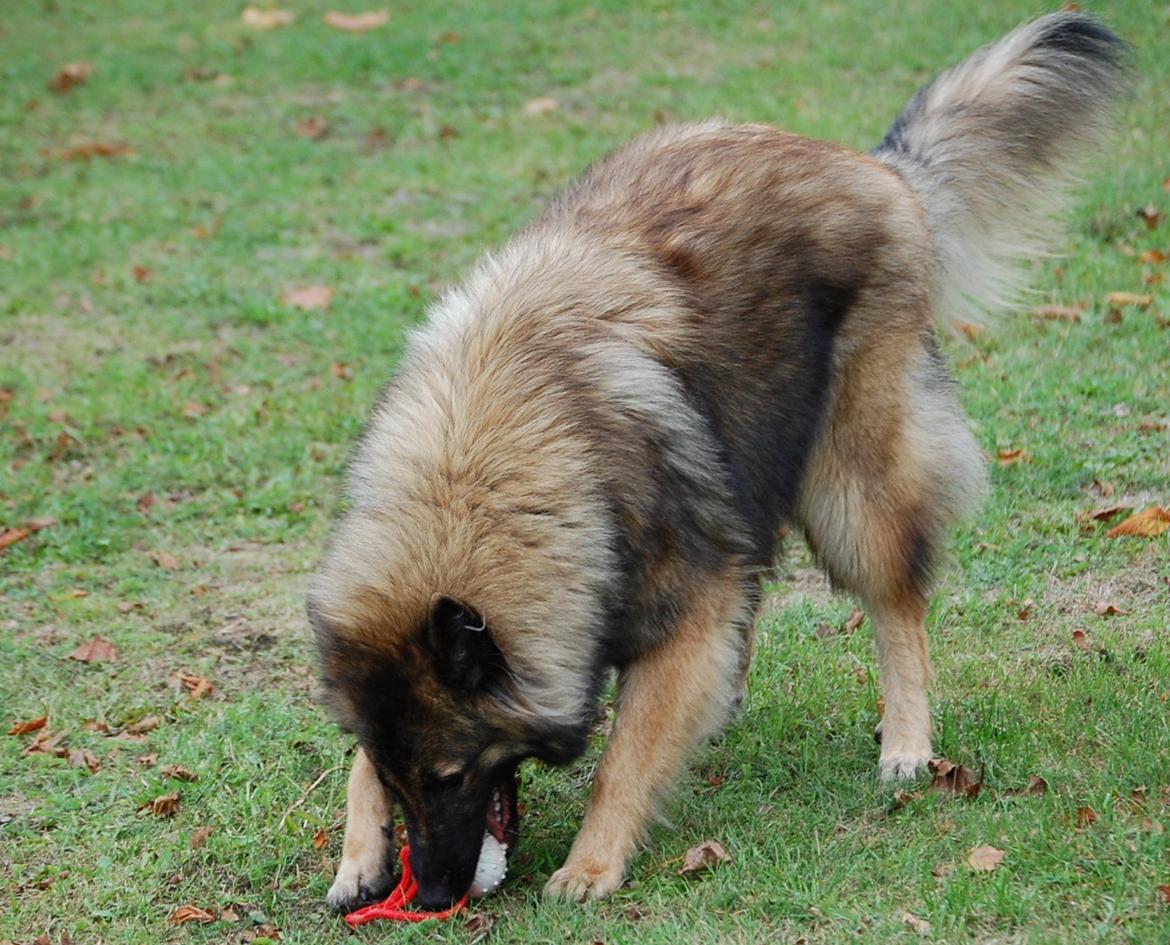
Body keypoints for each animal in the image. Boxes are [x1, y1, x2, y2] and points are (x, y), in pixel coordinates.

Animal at [306, 12, 1127, 907]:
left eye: (452, 775)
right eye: (400, 778)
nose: (430, 894)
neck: (479, 468)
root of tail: (878, 168)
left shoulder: (683, 594)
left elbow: (626, 757)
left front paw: (590, 863)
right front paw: (356, 850)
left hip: (850, 483)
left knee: (895, 605)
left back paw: (907, 742)